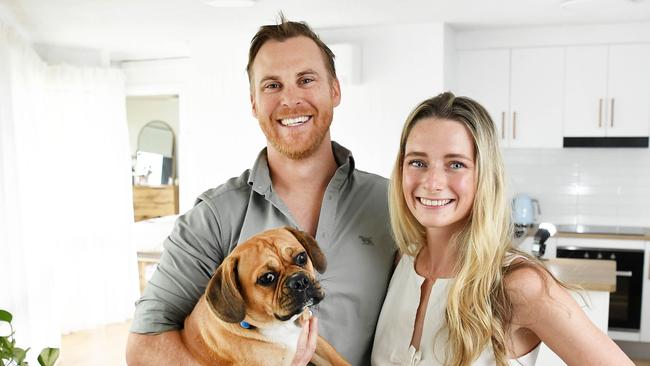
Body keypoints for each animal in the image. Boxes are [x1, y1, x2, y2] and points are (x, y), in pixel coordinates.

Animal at [177, 226, 350, 366]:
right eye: (267, 278)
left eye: (301, 257)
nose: (299, 281)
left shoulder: (317, 343)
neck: (280, 326)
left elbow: (336, 359)